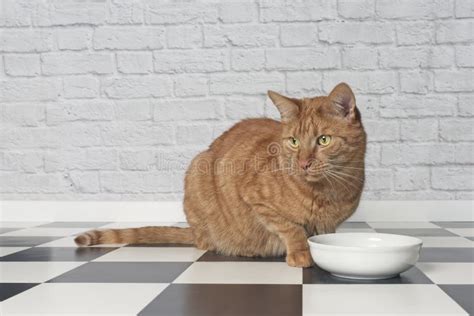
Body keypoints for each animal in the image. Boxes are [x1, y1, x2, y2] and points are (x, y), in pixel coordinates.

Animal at [77, 82, 366, 268]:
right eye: (294, 142)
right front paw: (301, 253)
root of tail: (194, 232)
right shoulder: (255, 198)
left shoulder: (331, 223)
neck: (327, 192)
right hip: (197, 169)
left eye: (323, 140)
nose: (303, 163)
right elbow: (291, 228)